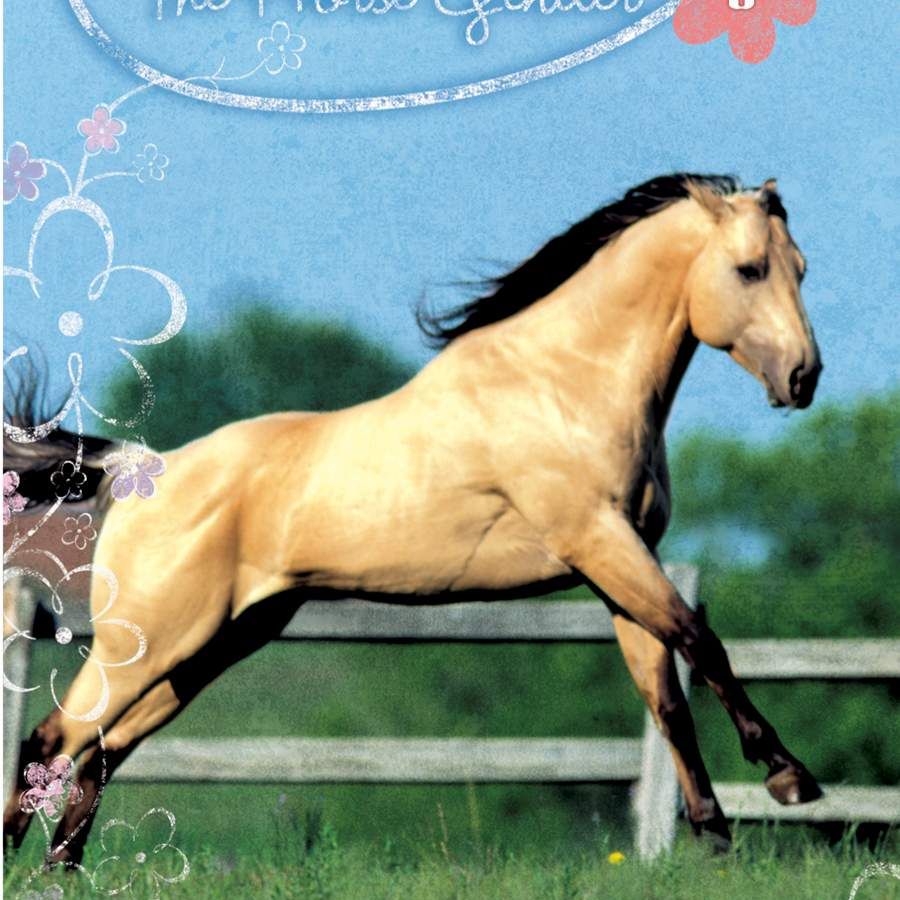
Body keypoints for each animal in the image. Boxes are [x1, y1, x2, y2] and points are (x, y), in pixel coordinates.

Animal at [4, 173, 823, 865]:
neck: (563, 385)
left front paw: (716, 834)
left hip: (215, 643)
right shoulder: (601, 544)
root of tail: (143, 468)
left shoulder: (622, 568)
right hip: (152, 641)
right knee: (55, 736)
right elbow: (701, 642)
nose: (802, 377)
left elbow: (667, 697)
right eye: (750, 269)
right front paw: (789, 779)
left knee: (103, 745)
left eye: (801, 268)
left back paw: (60, 870)